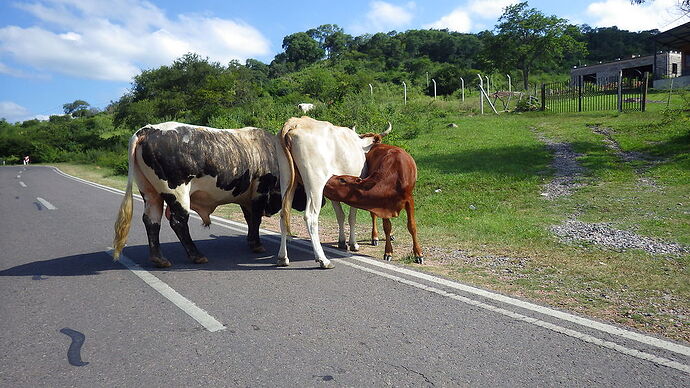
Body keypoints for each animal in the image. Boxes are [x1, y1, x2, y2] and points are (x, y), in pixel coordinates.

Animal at [113, 123, 284, 268]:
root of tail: (148, 129)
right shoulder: (261, 190)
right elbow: (256, 218)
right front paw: (257, 244)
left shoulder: (246, 197)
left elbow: (249, 219)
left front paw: (250, 241)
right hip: (177, 192)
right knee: (178, 222)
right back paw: (196, 255)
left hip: (150, 192)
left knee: (152, 221)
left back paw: (159, 259)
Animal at [276, 113, 392, 268]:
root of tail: (296, 122)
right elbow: (352, 217)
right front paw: (353, 243)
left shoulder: (333, 193)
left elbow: (340, 215)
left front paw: (342, 241)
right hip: (315, 183)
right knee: (311, 216)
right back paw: (322, 259)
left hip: (286, 178)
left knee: (284, 213)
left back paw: (283, 258)